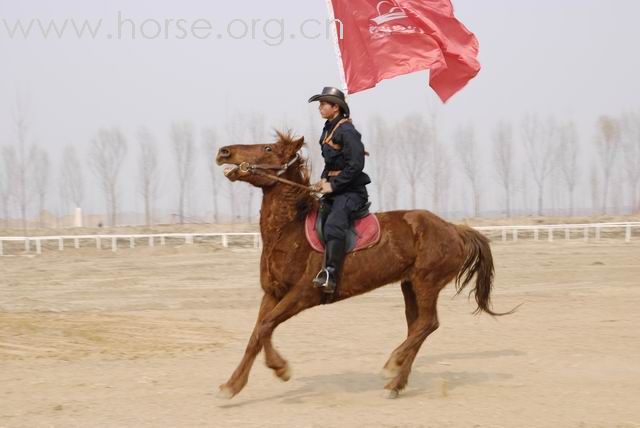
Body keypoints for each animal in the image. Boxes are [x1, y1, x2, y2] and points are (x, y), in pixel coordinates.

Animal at [215, 132, 510, 400]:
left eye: (267, 148)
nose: (224, 152)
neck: (289, 230)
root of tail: (454, 229)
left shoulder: (302, 295)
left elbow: (266, 326)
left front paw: (281, 369)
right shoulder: (273, 293)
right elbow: (257, 333)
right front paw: (232, 385)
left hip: (427, 282)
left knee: (428, 323)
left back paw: (392, 365)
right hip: (409, 285)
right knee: (416, 327)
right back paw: (396, 384)